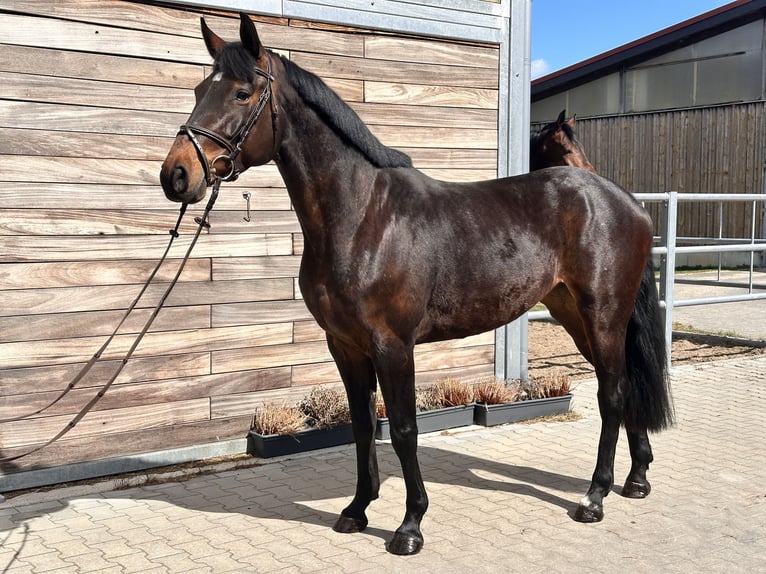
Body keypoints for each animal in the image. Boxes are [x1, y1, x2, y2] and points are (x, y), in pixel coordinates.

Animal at [160, 14, 674, 555]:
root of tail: (627, 202)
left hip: (603, 315)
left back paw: (594, 497)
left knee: (612, 395)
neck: (363, 216)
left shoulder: (392, 344)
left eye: (241, 93)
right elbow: (363, 425)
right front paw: (356, 510)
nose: (177, 175)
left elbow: (403, 429)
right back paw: (636, 479)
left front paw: (409, 527)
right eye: (198, 89)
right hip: (575, 314)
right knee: (623, 386)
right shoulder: (345, 345)